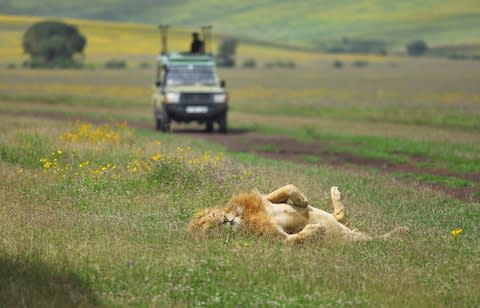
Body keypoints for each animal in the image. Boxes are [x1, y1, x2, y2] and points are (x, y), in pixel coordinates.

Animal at [188, 184, 408, 244]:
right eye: (212, 230)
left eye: (213, 219)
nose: (226, 220)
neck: (244, 218)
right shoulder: (279, 239)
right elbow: (294, 239)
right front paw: (315, 229)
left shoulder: (266, 200)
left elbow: (287, 189)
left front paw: (302, 200)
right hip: (356, 240)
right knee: (375, 239)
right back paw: (402, 232)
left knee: (340, 215)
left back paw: (335, 192)